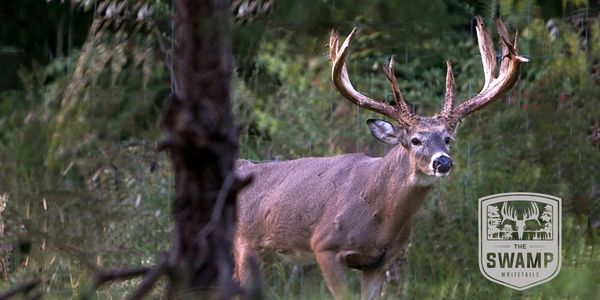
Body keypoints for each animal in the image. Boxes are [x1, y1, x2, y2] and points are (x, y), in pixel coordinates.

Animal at [234, 17, 528, 298]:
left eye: (447, 138)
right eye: (415, 140)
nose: (443, 162)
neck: (381, 217)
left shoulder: (380, 260)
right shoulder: (324, 245)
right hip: (245, 244)